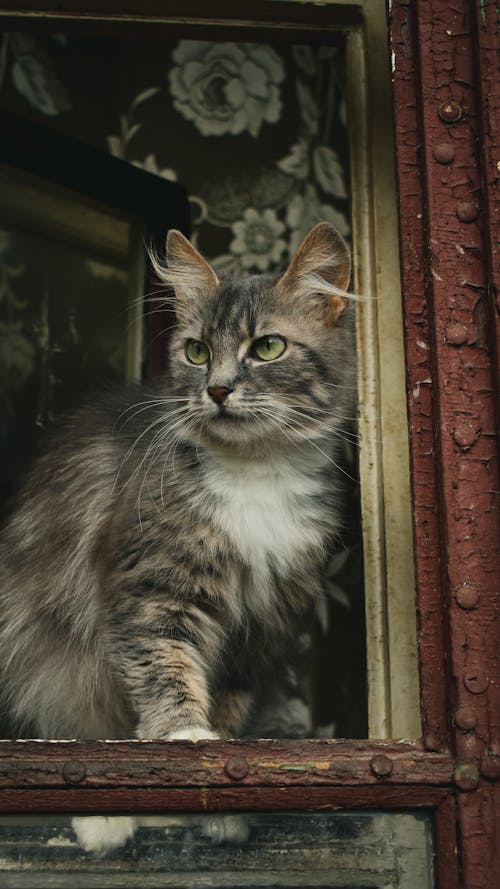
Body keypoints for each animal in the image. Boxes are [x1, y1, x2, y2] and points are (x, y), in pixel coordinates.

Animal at [0, 222, 356, 848]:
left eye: (268, 348)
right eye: (197, 352)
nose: (217, 390)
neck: (255, 473)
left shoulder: (260, 625)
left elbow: (230, 707)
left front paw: (219, 795)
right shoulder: (152, 587)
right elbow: (166, 668)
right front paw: (185, 739)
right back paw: (104, 821)